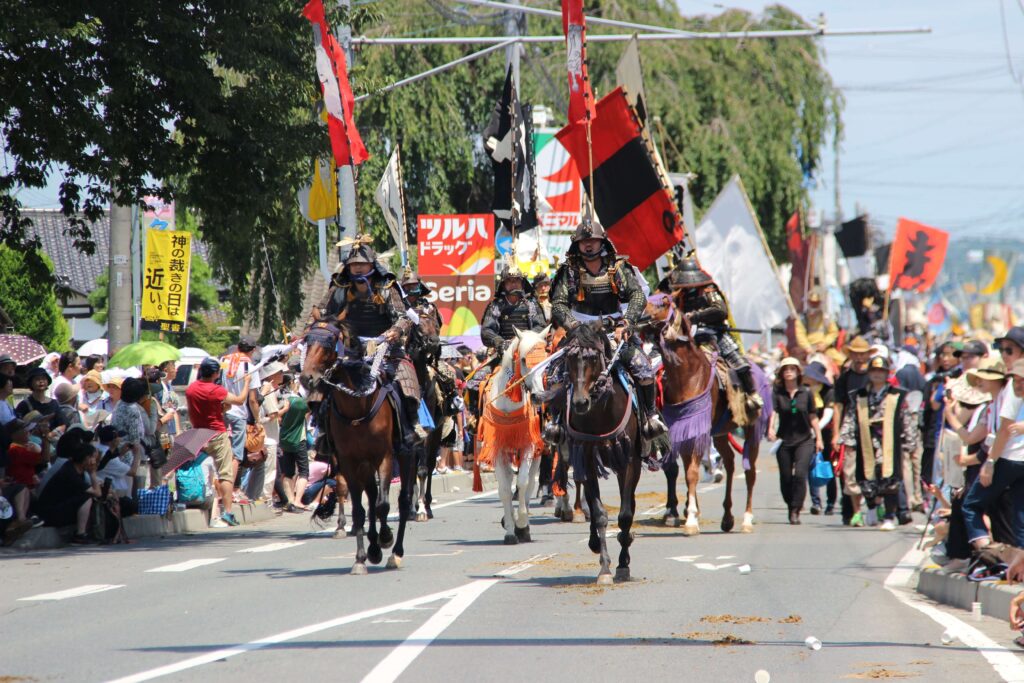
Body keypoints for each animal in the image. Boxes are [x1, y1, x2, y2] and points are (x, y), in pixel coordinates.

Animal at [299, 321, 415, 577]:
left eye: (329, 344)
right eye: (306, 341)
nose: (306, 378)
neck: (357, 408)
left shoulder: (385, 457)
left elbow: (383, 505)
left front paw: (385, 538)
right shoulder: (349, 461)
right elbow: (360, 509)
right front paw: (361, 558)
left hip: (406, 455)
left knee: (402, 500)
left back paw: (395, 553)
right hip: (364, 464)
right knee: (370, 497)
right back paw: (373, 548)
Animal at [479, 325, 552, 544]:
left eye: (546, 359)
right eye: (524, 360)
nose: (539, 396)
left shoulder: (528, 446)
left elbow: (523, 483)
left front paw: (521, 524)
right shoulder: (498, 449)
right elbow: (504, 489)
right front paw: (510, 530)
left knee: (528, 483)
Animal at [561, 321, 638, 581]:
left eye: (593, 358)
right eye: (569, 358)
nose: (580, 403)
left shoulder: (629, 460)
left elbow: (625, 514)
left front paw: (623, 564)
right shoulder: (586, 457)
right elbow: (599, 513)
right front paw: (605, 567)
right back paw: (594, 541)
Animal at [655, 296, 770, 536]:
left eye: (661, 303)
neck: (688, 376)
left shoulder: (698, 429)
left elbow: (692, 472)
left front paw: (691, 520)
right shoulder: (686, 429)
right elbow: (689, 471)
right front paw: (692, 514)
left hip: (752, 429)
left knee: (750, 472)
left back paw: (747, 519)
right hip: (720, 432)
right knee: (730, 463)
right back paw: (727, 518)